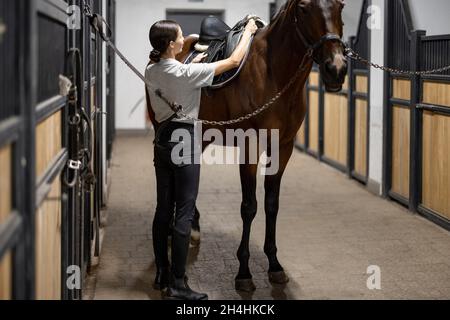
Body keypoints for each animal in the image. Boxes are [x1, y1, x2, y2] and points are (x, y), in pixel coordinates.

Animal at [146, 0, 346, 292]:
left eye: (341, 5)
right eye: (304, 7)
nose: (337, 68)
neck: (273, 72)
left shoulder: (282, 147)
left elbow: (272, 203)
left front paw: (274, 265)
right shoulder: (250, 144)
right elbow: (249, 206)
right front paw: (243, 272)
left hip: (201, 135)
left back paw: (191, 227)